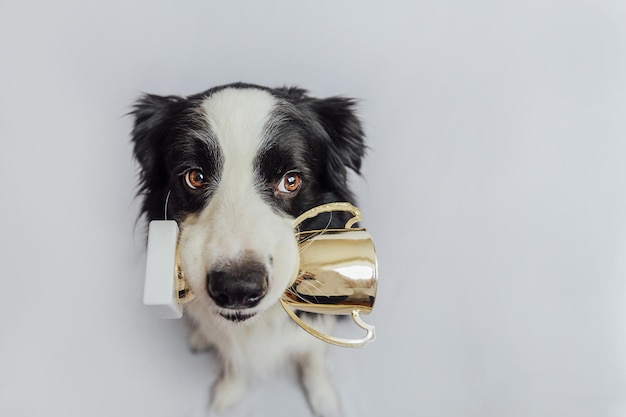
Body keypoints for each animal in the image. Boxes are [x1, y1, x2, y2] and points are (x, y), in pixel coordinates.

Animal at [130, 83, 366, 414]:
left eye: (291, 180)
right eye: (195, 177)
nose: (237, 289)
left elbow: (313, 353)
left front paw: (323, 397)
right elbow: (235, 360)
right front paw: (228, 392)